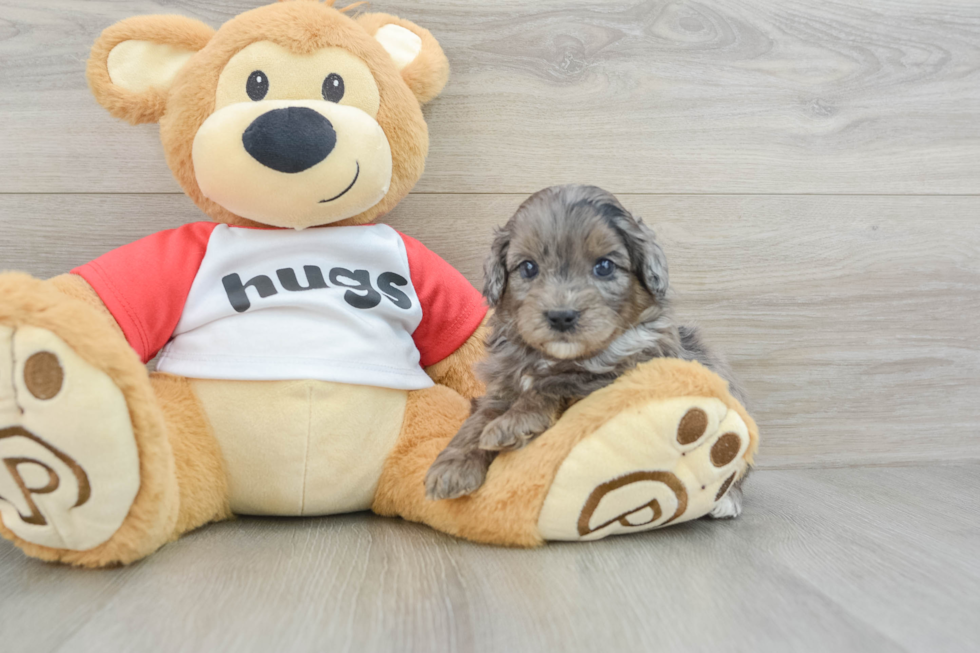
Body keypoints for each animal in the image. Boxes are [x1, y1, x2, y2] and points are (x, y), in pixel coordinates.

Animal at [424, 182, 748, 516]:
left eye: (604, 266)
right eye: (528, 268)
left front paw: (512, 424)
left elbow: (554, 387)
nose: (561, 316)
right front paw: (452, 466)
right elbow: (479, 419)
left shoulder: (621, 374)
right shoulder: (501, 386)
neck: (551, 358)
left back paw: (728, 500)